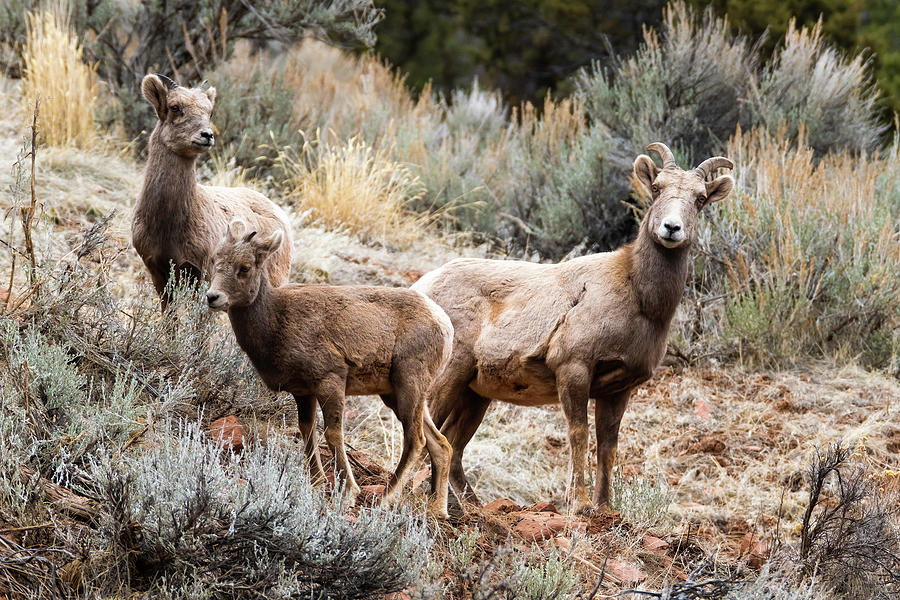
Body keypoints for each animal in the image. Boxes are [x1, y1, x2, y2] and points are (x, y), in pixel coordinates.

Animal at [132, 75, 292, 308]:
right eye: (174, 107)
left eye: (210, 112)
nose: (207, 135)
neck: (168, 227)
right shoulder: (158, 272)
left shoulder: (205, 273)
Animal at [207, 218, 454, 516]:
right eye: (215, 261)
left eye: (245, 268)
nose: (212, 297)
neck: (276, 321)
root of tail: (444, 324)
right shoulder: (303, 392)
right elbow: (307, 431)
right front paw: (315, 483)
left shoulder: (330, 381)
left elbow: (333, 435)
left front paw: (347, 493)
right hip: (397, 395)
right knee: (441, 445)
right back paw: (437, 509)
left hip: (409, 386)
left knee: (415, 440)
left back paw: (385, 499)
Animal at [412, 143, 736, 512]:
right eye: (656, 189)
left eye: (700, 198)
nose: (671, 228)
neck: (639, 297)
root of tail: (422, 287)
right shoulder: (574, 369)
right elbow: (579, 435)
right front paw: (578, 503)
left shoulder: (617, 390)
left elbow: (608, 446)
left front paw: (604, 507)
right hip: (450, 377)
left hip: (474, 395)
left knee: (453, 447)